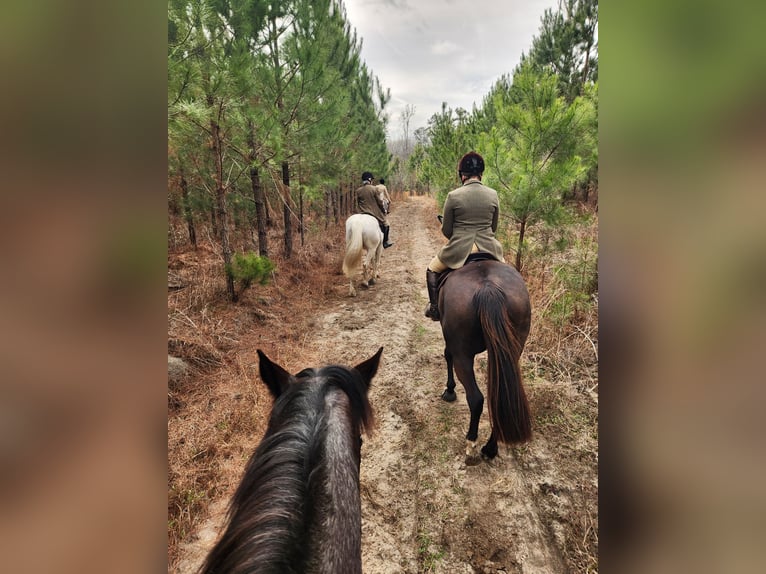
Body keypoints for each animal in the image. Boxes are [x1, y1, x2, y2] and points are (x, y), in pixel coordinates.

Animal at [437, 256, 532, 465]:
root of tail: (489, 289)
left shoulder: (451, 342)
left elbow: (447, 354)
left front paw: (449, 390)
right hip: (512, 348)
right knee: (497, 398)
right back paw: (490, 449)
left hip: (463, 355)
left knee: (476, 399)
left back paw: (471, 445)